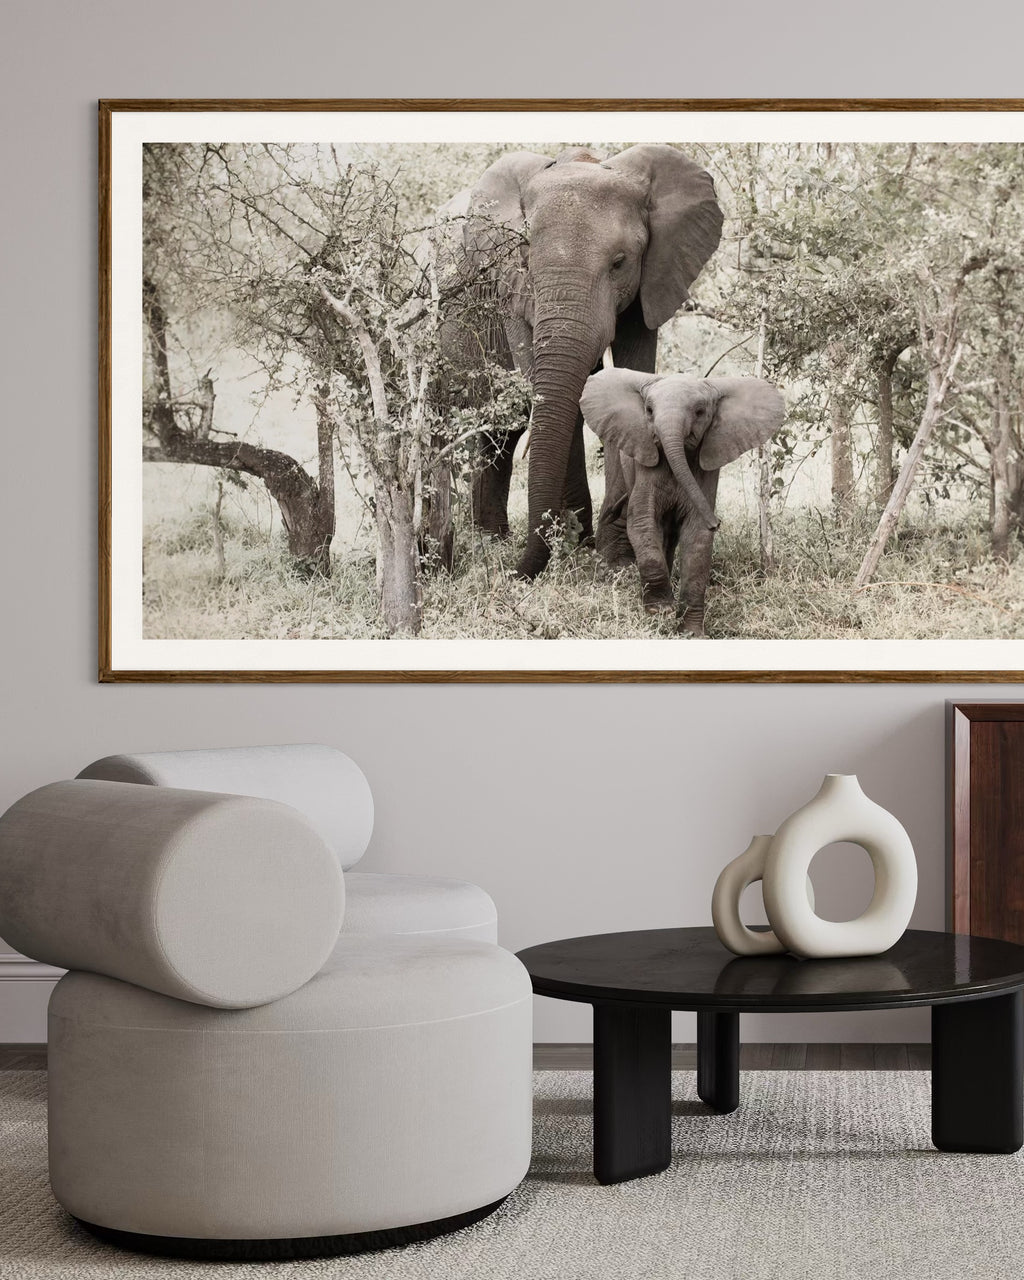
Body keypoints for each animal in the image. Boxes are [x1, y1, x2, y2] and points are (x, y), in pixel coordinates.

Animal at [446, 144, 723, 579]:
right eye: (526, 259)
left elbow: (629, 375)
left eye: (620, 262)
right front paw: (578, 543)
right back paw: (488, 542)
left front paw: (616, 555)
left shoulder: (651, 281)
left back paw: (493, 540)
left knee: (502, 434)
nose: (514, 574)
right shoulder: (509, 288)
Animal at [580, 368, 786, 635]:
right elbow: (643, 522)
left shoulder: (706, 467)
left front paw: (691, 633)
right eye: (649, 410)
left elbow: (696, 536)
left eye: (699, 412)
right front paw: (661, 611)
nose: (716, 523)